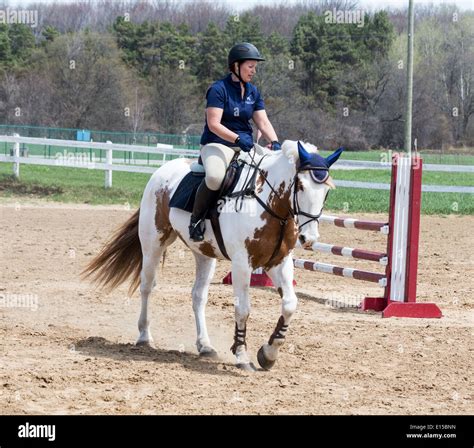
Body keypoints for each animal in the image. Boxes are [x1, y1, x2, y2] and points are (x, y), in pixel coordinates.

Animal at [82, 141, 340, 372]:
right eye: (301, 186)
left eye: (327, 191)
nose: (309, 238)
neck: (268, 202)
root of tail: (162, 171)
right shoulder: (242, 264)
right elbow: (243, 309)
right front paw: (242, 356)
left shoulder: (279, 263)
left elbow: (289, 304)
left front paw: (268, 354)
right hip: (153, 243)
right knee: (147, 286)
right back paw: (145, 336)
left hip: (204, 254)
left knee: (198, 296)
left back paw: (205, 345)